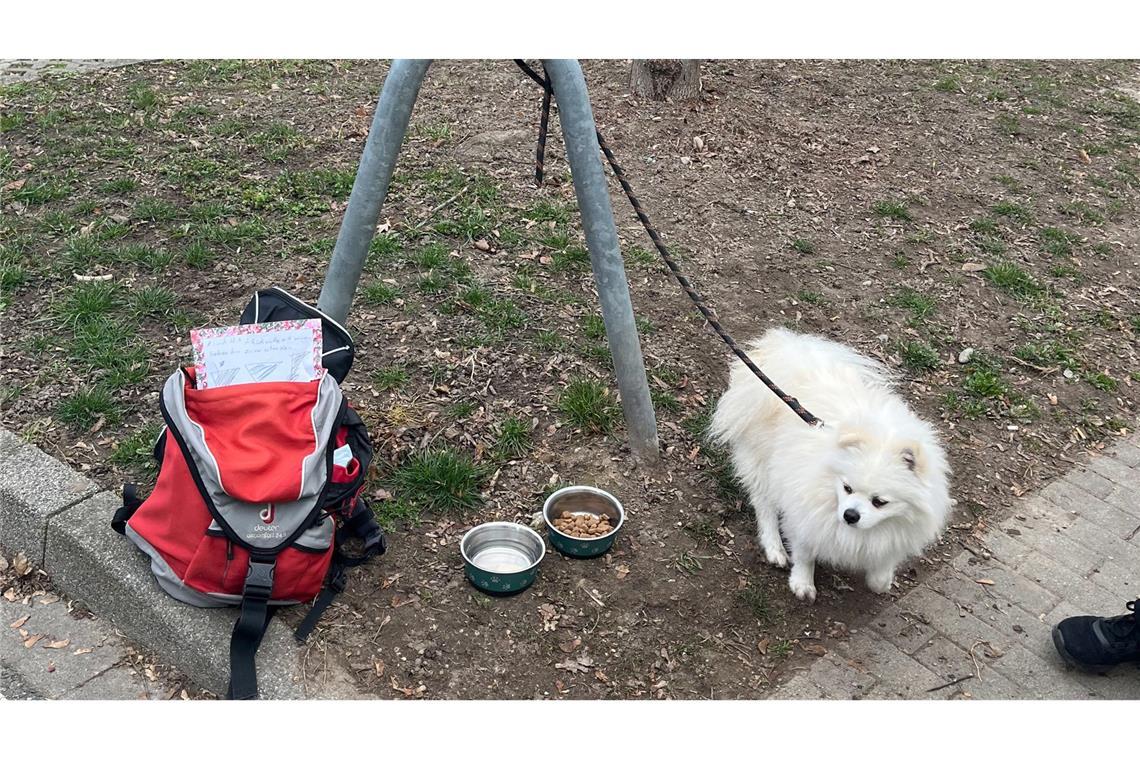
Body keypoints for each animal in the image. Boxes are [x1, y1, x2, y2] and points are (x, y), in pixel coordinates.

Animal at [711, 330, 953, 601]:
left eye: (880, 502)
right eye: (847, 488)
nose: (850, 515)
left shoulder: (897, 533)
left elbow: (882, 566)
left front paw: (881, 580)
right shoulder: (806, 512)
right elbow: (805, 553)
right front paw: (803, 583)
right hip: (764, 463)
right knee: (765, 507)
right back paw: (775, 549)